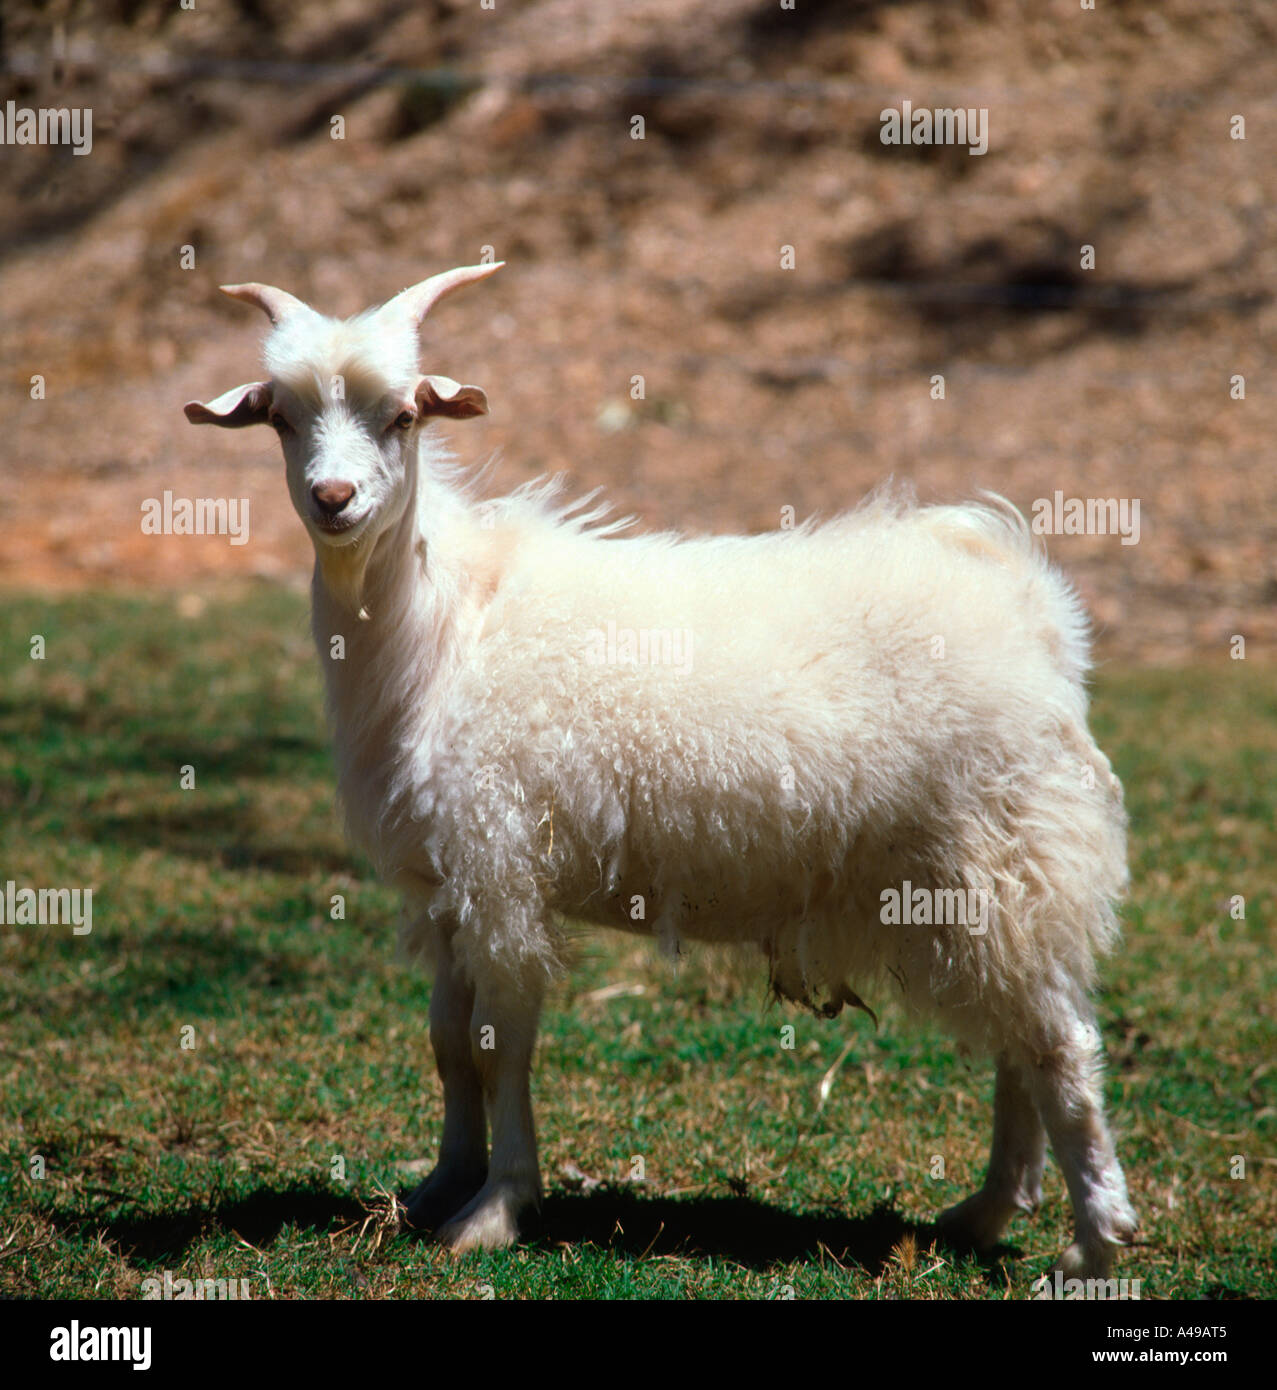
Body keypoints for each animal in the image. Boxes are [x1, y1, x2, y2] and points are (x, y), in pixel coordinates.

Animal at [186, 262, 1138, 1276]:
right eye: (282, 419)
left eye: (404, 416)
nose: (333, 498)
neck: (445, 618)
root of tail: (1027, 598)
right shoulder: (444, 882)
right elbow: (448, 1043)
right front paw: (441, 1185)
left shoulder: (499, 862)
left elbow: (500, 1045)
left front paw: (497, 1208)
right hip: (972, 879)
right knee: (1016, 1042)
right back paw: (987, 1211)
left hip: (1006, 851)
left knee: (1059, 1045)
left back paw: (1091, 1243)